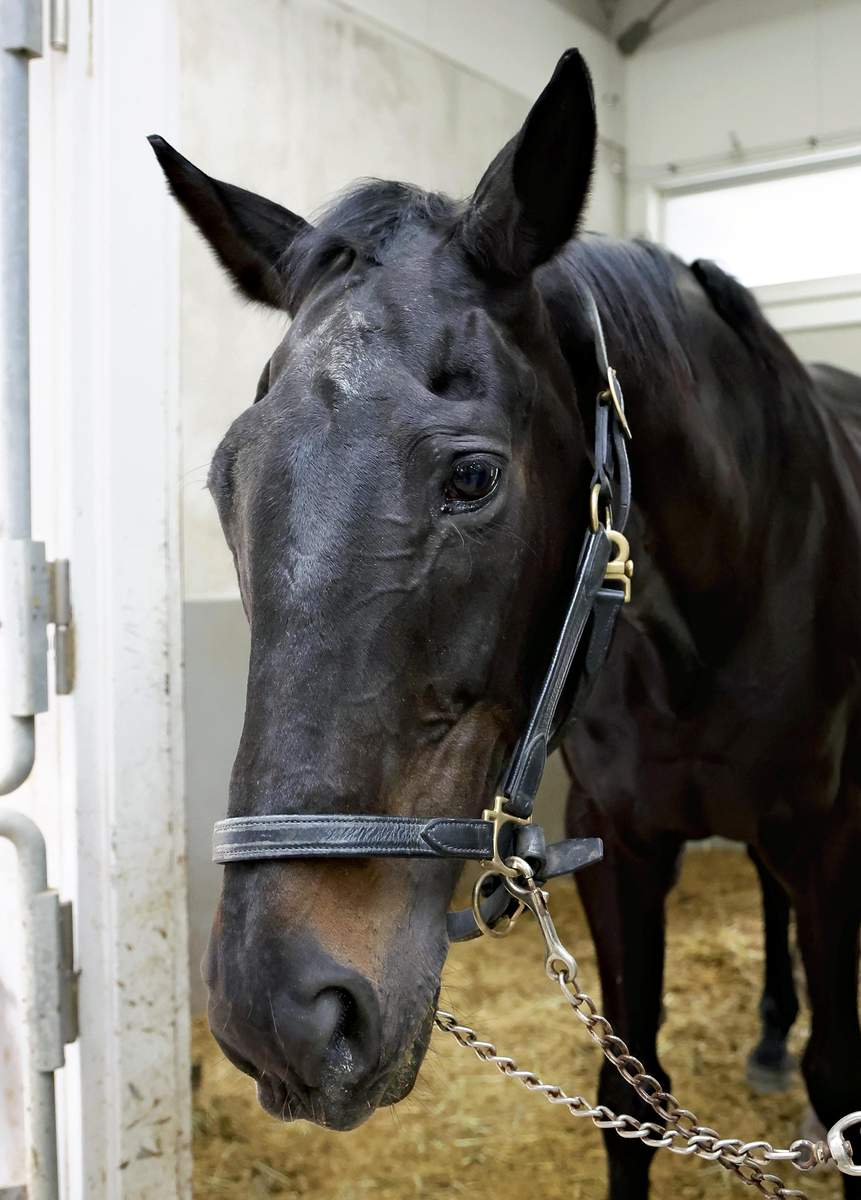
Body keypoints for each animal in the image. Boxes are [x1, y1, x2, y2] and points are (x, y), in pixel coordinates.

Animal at [150, 47, 861, 1198]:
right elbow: (631, 1093)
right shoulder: (622, 846)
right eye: (226, 481)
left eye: (473, 478)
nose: (279, 1015)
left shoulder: (829, 837)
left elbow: (838, 1077)